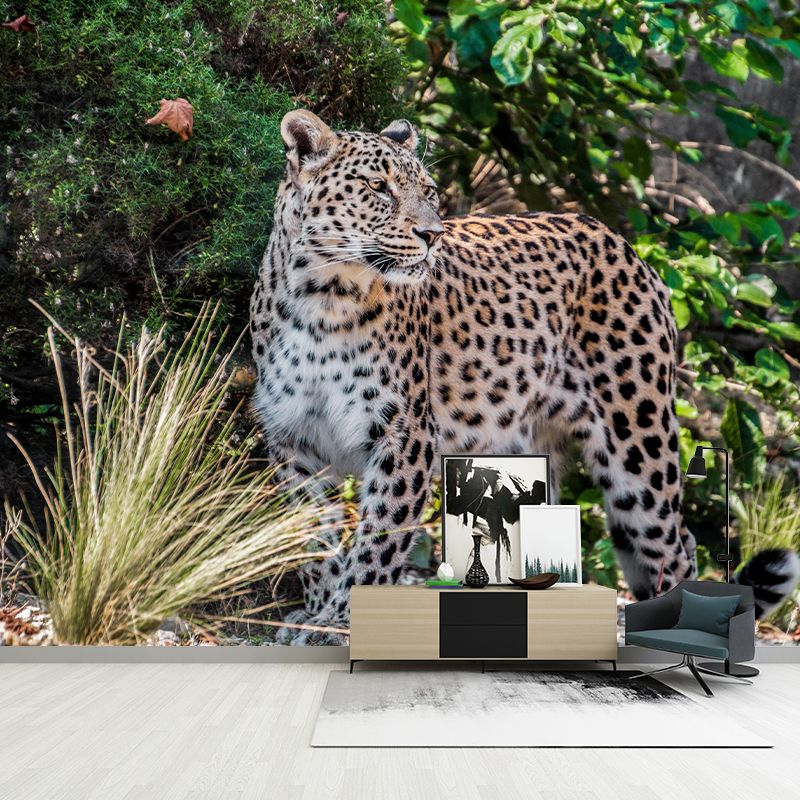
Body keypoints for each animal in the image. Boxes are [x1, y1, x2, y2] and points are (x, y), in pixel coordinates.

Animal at [249, 110, 792, 644]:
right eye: (377, 187)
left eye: (428, 191)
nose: (432, 234)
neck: (322, 297)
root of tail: (627, 246)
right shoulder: (294, 439)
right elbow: (310, 539)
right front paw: (312, 616)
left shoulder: (403, 437)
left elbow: (379, 540)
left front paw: (342, 620)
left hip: (638, 448)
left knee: (676, 544)